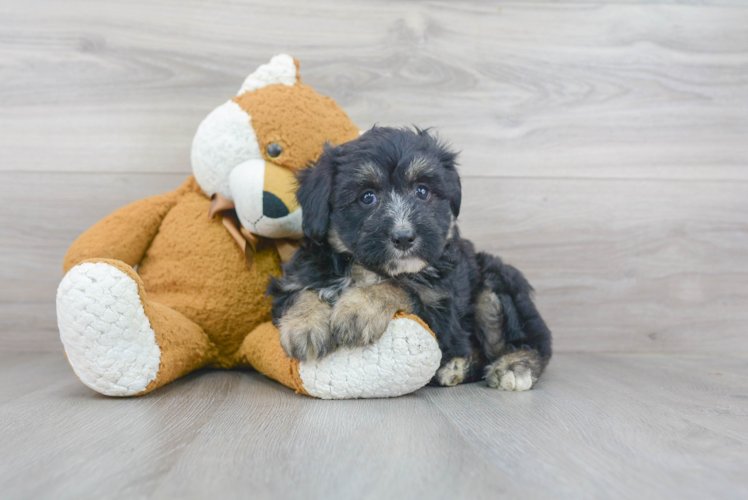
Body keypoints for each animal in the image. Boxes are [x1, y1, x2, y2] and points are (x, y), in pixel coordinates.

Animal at [268, 126, 548, 390]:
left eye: (422, 192)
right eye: (367, 197)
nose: (404, 237)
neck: (363, 268)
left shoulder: (441, 307)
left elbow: (400, 286)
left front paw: (358, 307)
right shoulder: (295, 278)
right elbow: (302, 292)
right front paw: (304, 326)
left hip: (494, 286)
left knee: (530, 341)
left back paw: (514, 366)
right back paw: (457, 367)